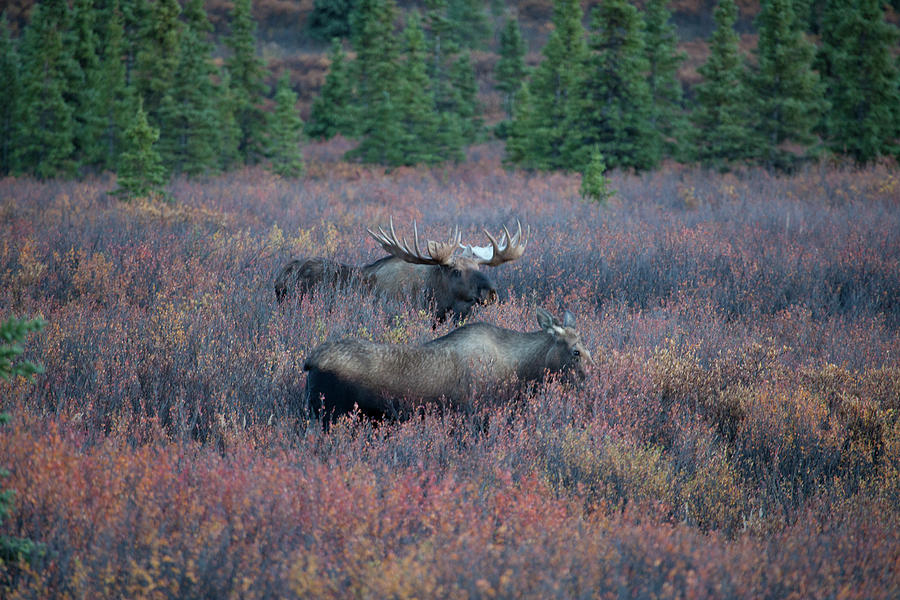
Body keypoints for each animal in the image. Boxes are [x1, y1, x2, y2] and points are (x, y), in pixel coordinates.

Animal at [306, 310, 596, 426]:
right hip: (328, 415)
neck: (522, 371)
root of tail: (308, 362)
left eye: (589, 350)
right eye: (576, 352)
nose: (592, 381)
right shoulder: (475, 414)